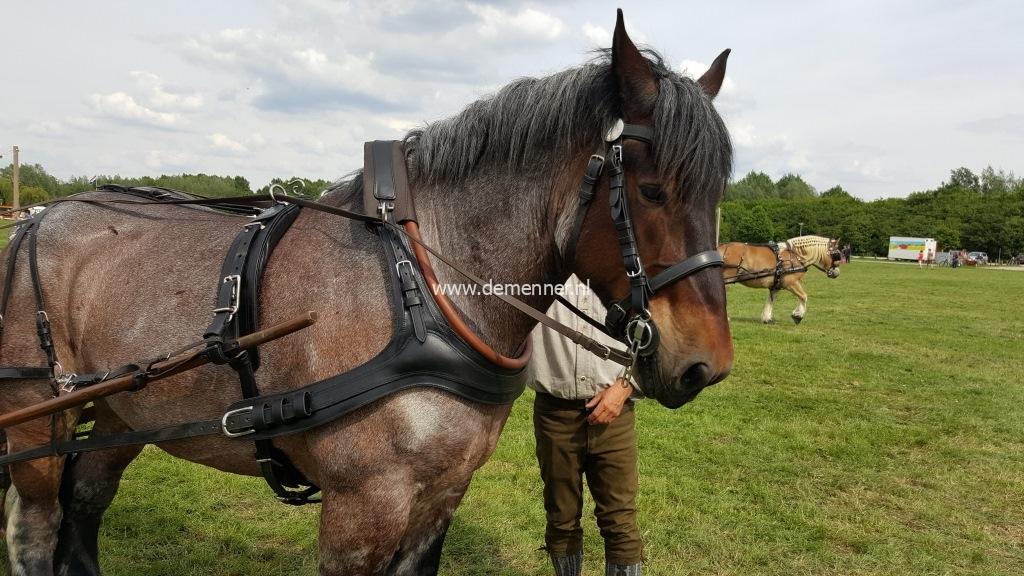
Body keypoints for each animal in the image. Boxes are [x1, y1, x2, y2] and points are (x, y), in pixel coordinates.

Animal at [0, 12, 734, 576]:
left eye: (718, 194)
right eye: (652, 190)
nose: (706, 365)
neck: (422, 295)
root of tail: (38, 217)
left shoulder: (440, 496)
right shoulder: (363, 505)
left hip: (121, 413)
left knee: (84, 507)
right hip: (37, 415)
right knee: (37, 526)